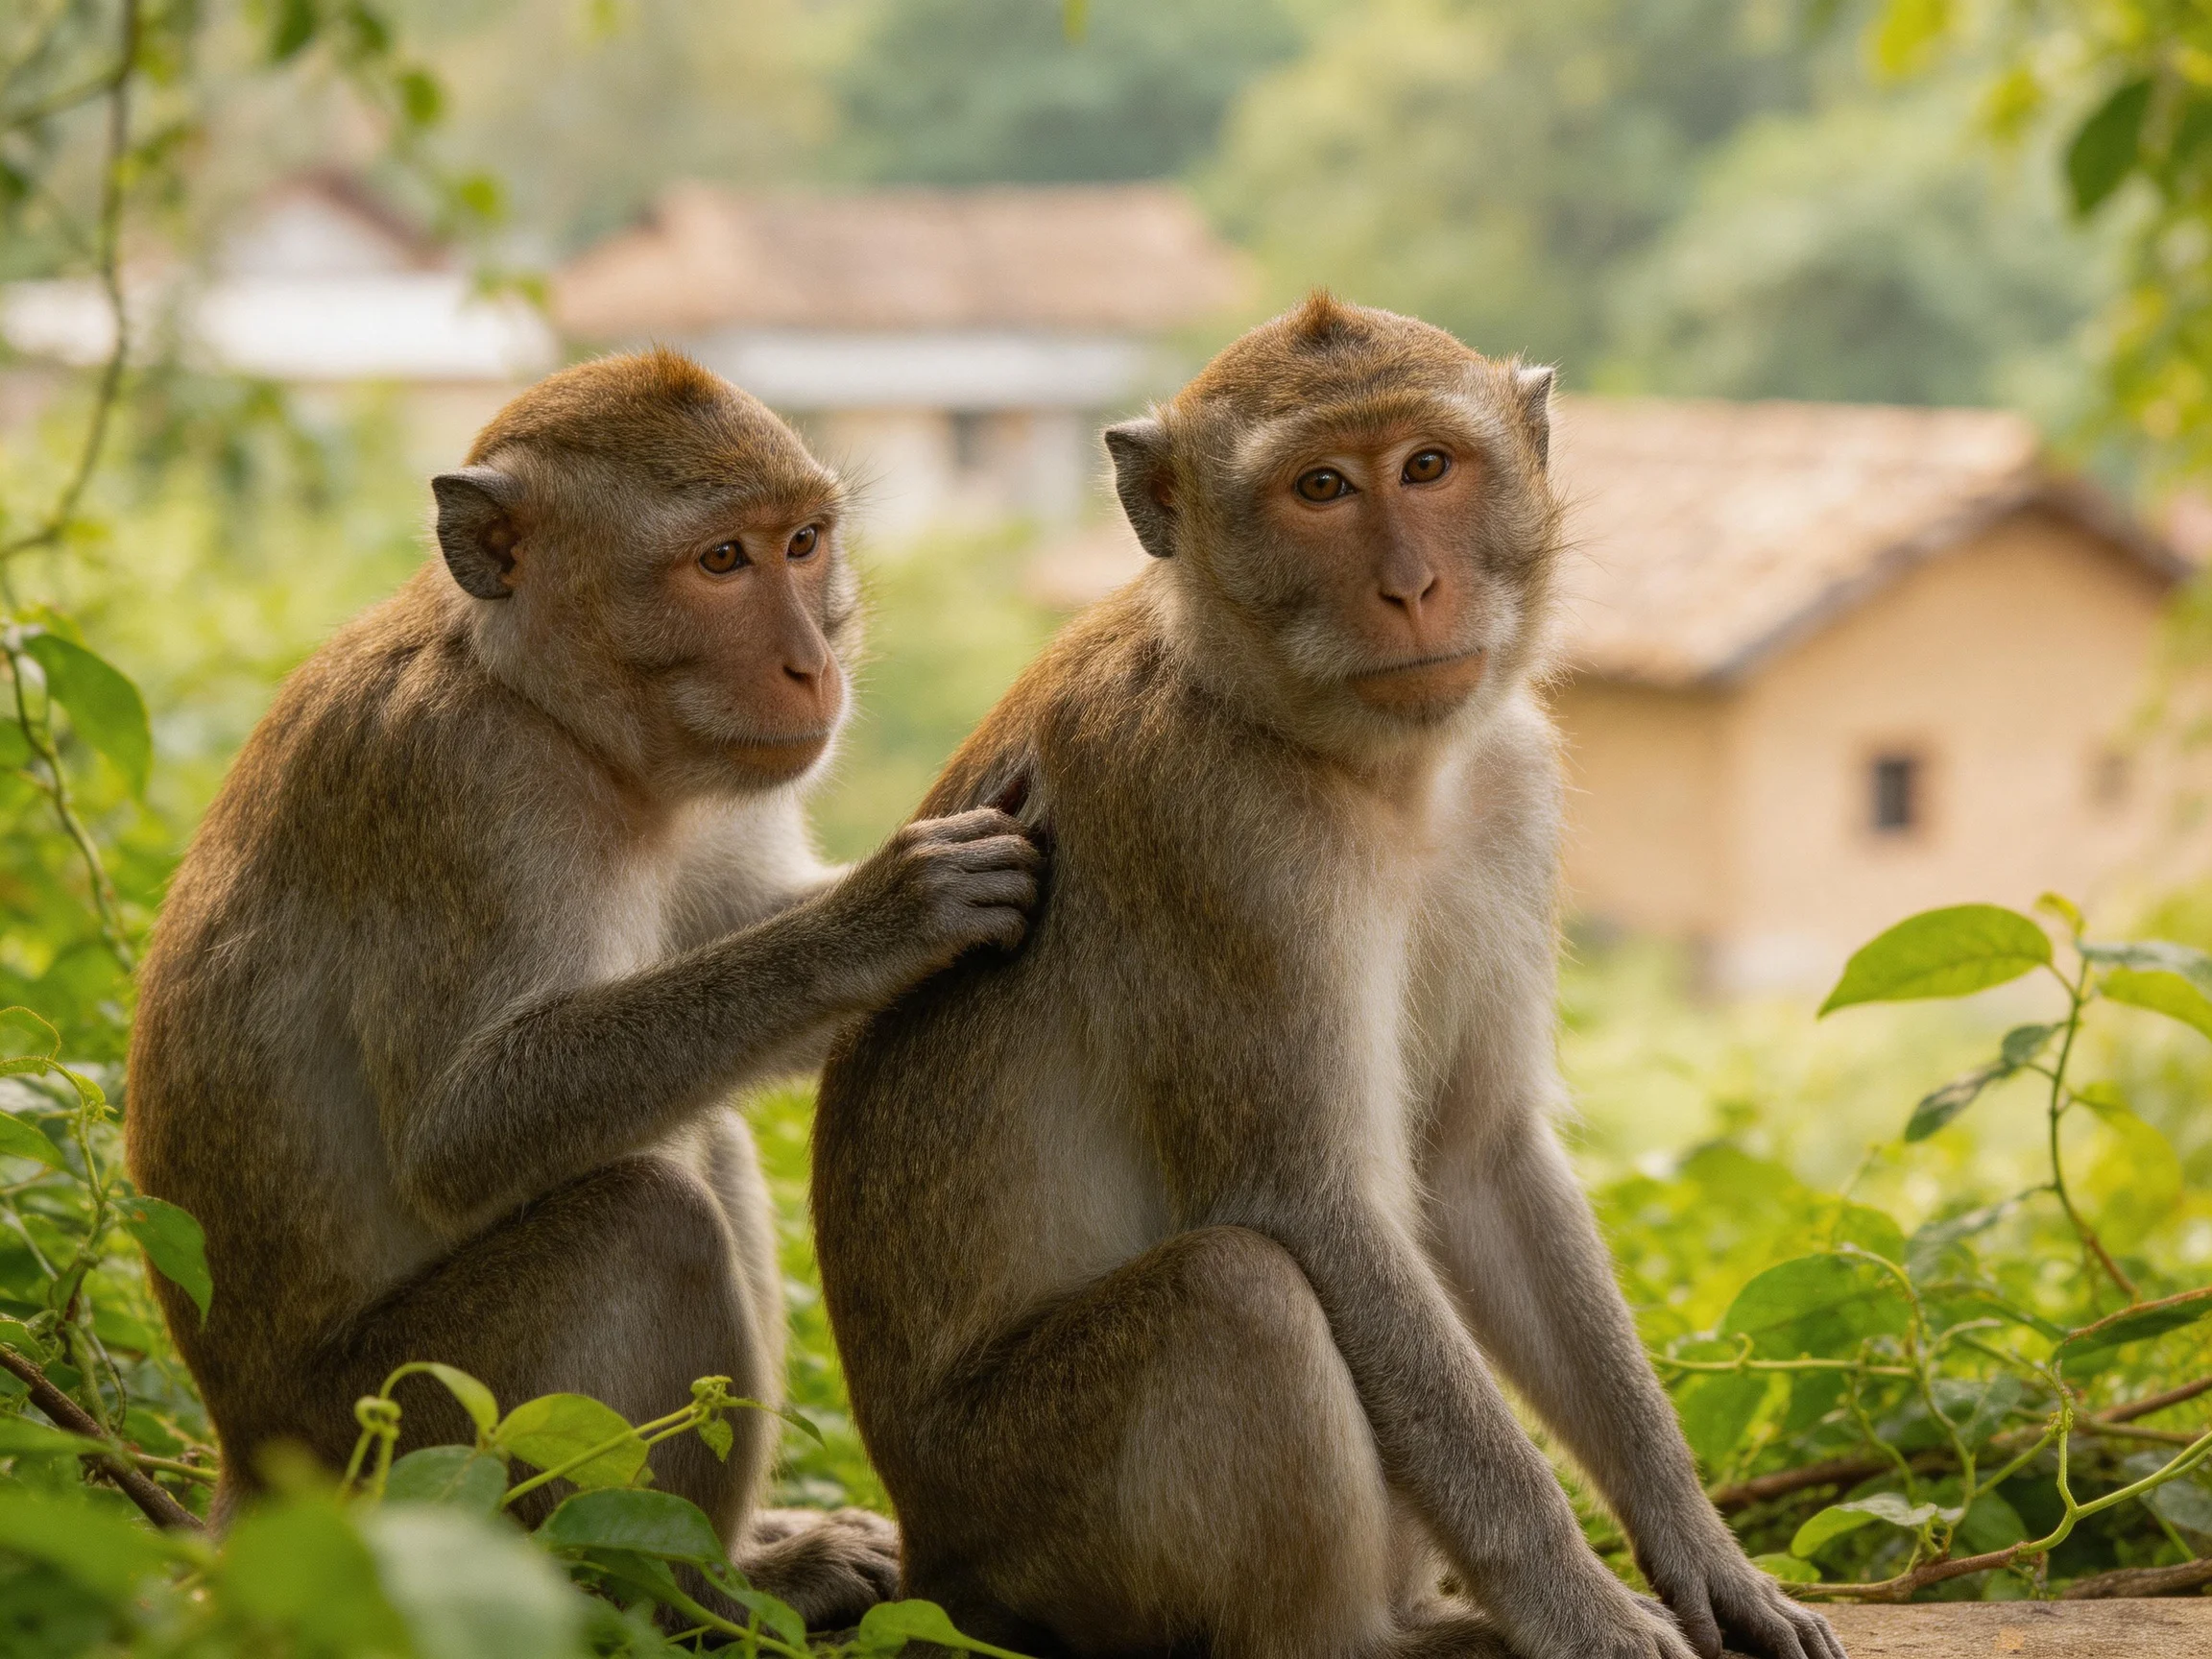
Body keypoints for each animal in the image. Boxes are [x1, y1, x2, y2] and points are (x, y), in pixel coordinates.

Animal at [125, 349, 1041, 1628]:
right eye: (722, 561)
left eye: (804, 543)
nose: (812, 664)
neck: (552, 713)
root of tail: (245, 1474)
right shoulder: (465, 789)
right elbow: (462, 1133)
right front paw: (885, 918)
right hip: (391, 1437)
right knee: (647, 1219)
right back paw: (696, 1591)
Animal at [811, 297, 1846, 1659]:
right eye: (1320, 489)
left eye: (1427, 467)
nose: (1412, 586)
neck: (1357, 762)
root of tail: (927, 1556)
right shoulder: (1210, 834)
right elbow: (1311, 1205)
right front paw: (1580, 1609)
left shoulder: (1513, 787)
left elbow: (1476, 1160)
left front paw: (1705, 1558)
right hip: (1027, 1525)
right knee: (1236, 1292)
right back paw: (1365, 1635)